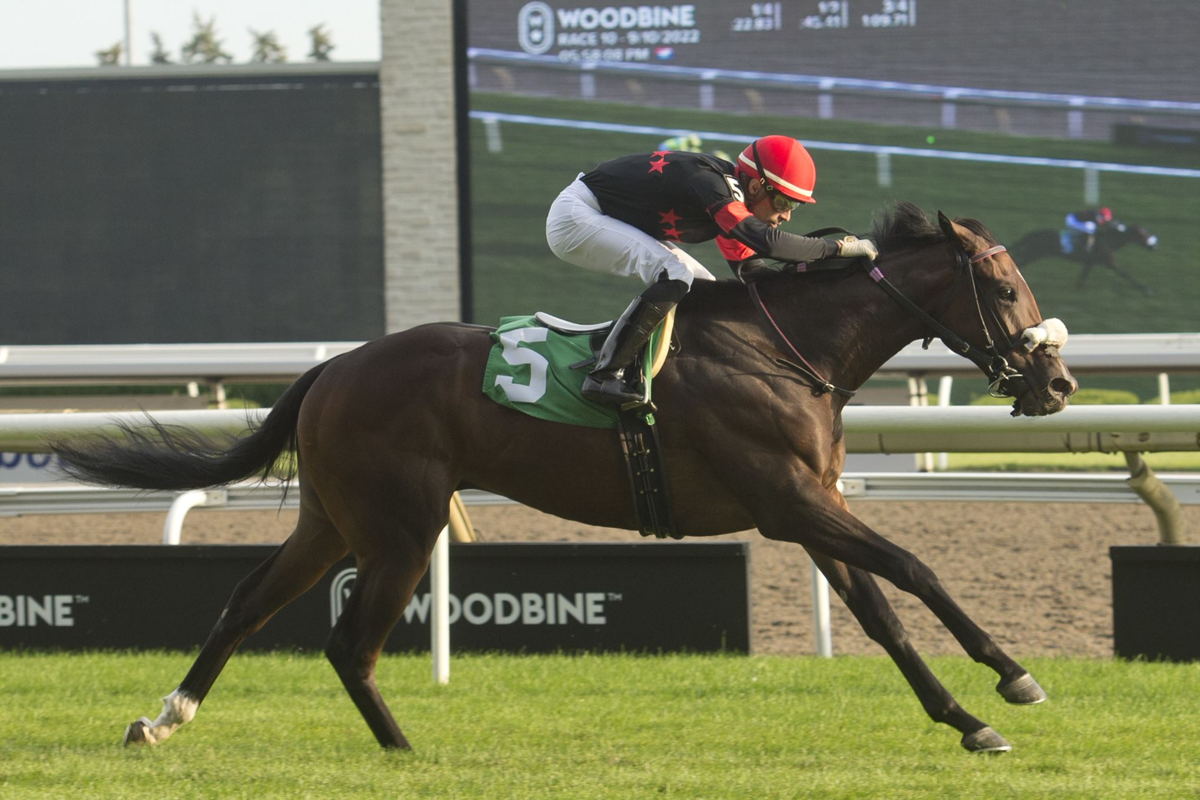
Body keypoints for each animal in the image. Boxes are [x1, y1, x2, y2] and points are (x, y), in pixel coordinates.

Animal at [51, 203, 1080, 753]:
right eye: (1005, 286)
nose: (1059, 382)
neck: (785, 350)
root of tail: (333, 368)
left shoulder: (804, 509)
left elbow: (882, 617)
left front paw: (967, 720)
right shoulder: (790, 500)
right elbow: (916, 570)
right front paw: (1015, 679)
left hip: (334, 521)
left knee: (246, 604)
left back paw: (164, 717)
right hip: (402, 526)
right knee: (348, 643)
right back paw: (402, 747)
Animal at [1008, 219, 1156, 293]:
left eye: (1146, 233)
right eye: (1142, 235)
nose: (1153, 246)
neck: (1108, 240)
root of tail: (1033, 234)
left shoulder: (1089, 262)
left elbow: (1082, 278)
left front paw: (1077, 288)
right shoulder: (1110, 263)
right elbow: (1126, 275)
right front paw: (1146, 289)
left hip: (1033, 253)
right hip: (1033, 254)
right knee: (1018, 262)